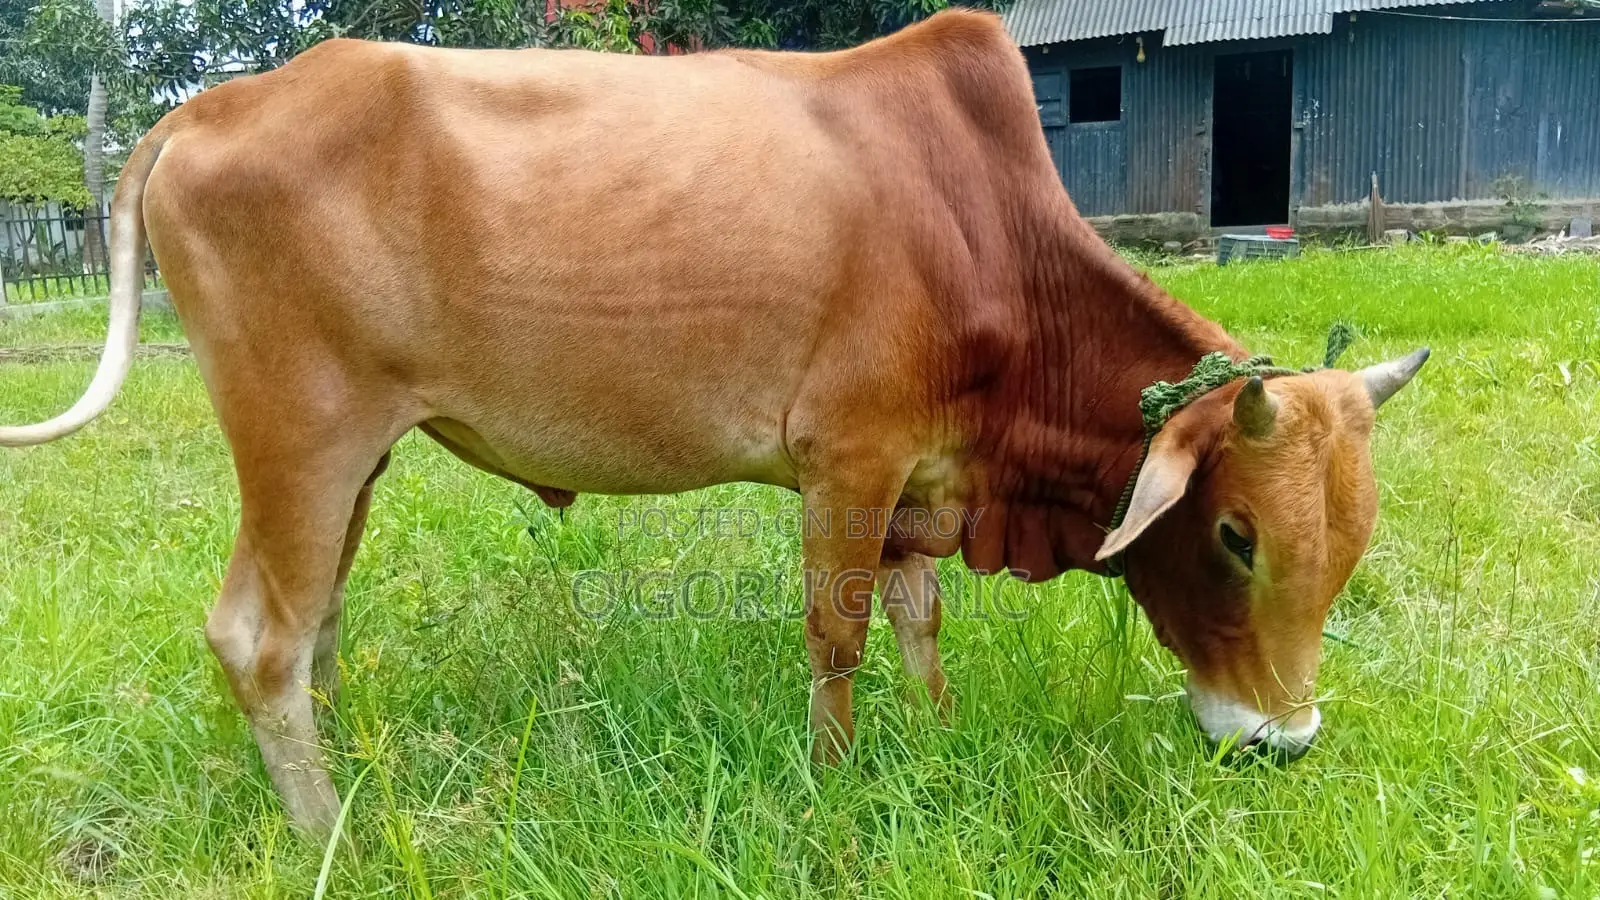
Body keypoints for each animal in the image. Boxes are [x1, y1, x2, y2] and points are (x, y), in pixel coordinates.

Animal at [0, 9, 1426, 838]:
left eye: (1350, 549)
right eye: (1236, 536)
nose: (1281, 743)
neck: (991, 245)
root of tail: (208, 107)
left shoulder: (914, 478)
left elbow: (919, 625)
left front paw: (938, 737)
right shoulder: (846, 459)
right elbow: (837, 640)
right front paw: (835, 790)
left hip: (355, 459)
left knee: (318, 629)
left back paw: (351, 772)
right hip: (299, 437)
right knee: (259, 638)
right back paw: (326, 832)